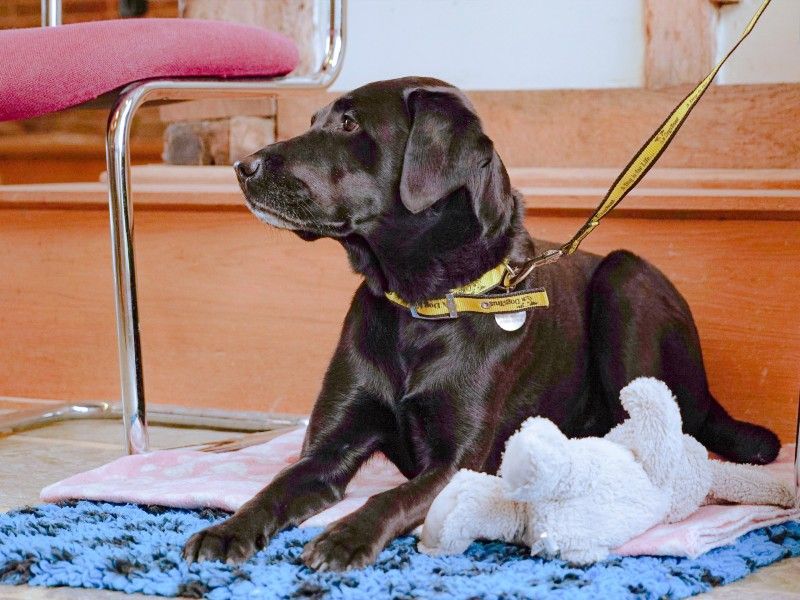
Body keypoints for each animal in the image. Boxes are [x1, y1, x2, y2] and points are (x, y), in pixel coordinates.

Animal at [183, 76, 780, 572]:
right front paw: (227, 530)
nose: (242, 166)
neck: (421, 305)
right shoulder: (329, 448)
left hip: (625, 277)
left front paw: (345, 537)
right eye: (313, 122)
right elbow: (275, 487)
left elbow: (389, 496)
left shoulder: (457, 463)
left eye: (350, 124)